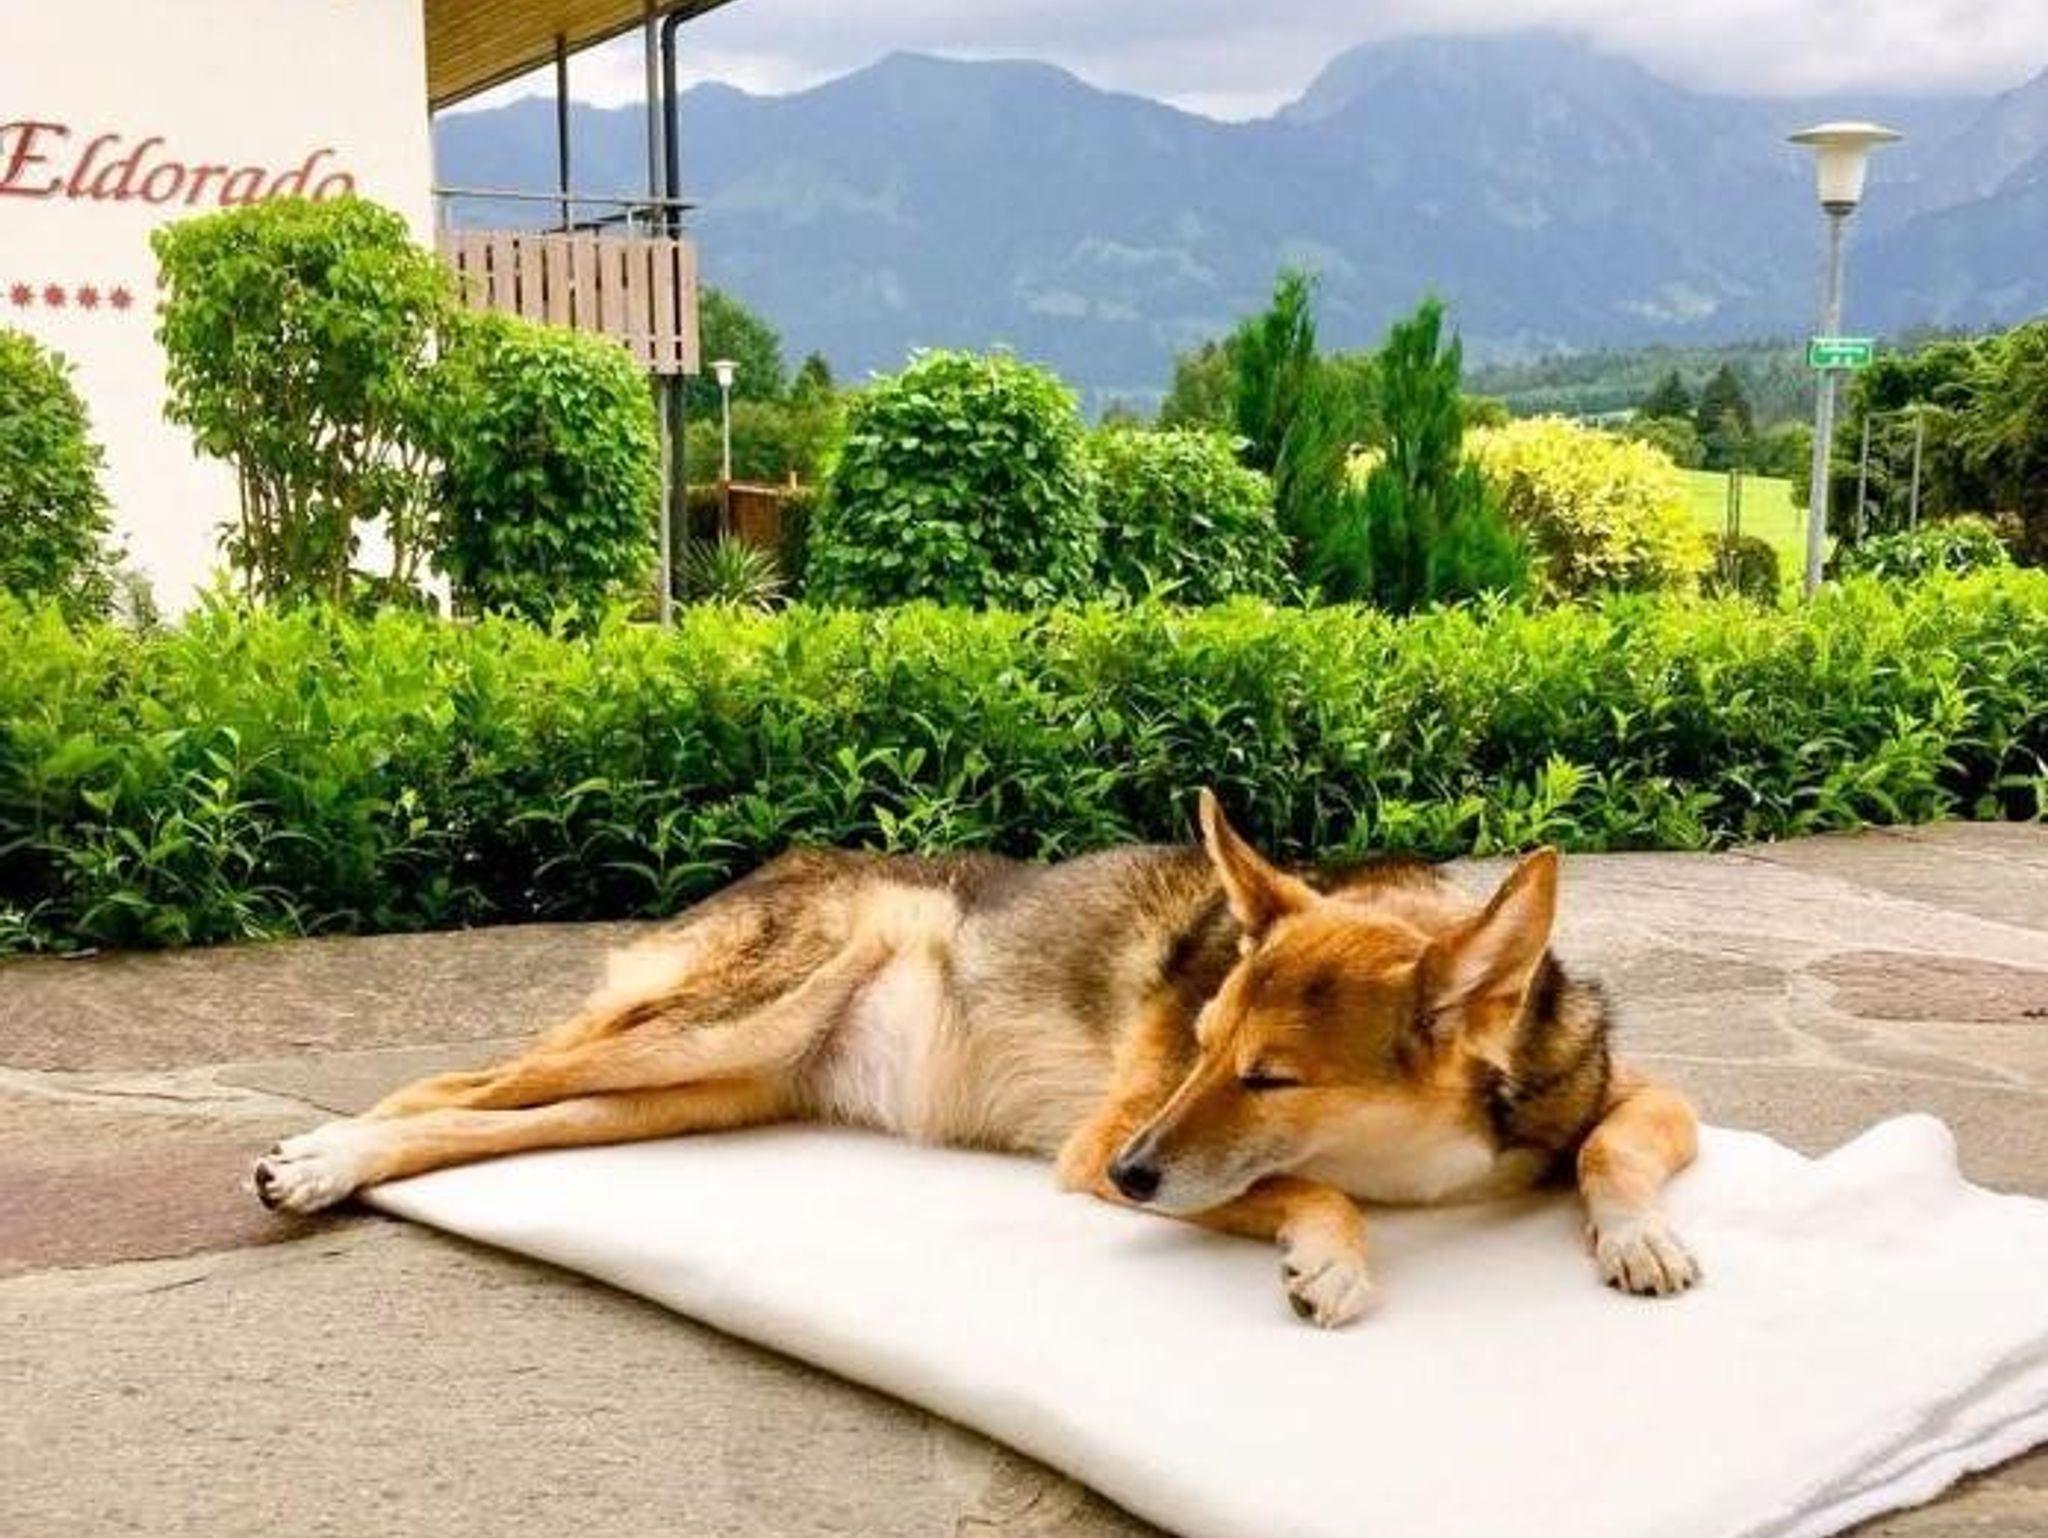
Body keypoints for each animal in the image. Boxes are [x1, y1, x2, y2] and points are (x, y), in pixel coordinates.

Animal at [254, 790, 1700, 1326]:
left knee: (474, 1114)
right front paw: (1333, 1253)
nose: (1129, 1177)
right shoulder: (1110, 1139)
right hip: (719, 1022)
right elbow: (1304, 1188)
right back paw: (323, 1154)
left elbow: (1619, 1144)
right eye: (1207, 1048)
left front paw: (1637, 1234)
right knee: (452, 1086)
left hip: (679, 1095)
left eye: (1271, 1075)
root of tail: (788, 856)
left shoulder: (1638, 1090)